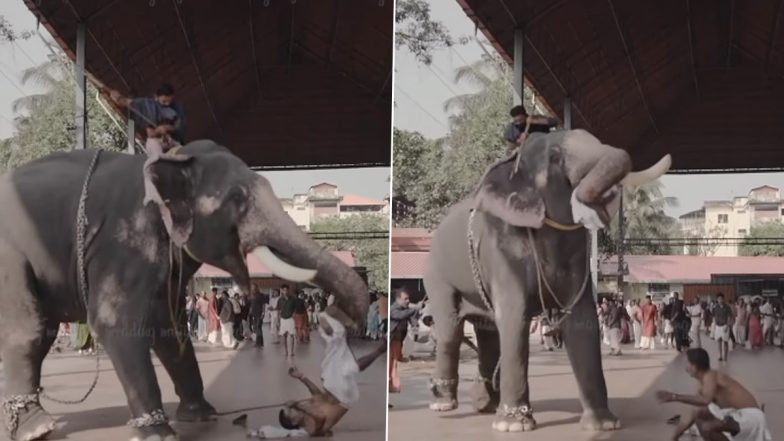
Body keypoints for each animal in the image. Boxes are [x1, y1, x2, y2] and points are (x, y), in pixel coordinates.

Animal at [0, 141, 370, 440]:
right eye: (237, 198)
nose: (334, 316)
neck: (173, 159)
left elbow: (169, 325)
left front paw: (201, 415)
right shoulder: (123, 241)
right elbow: (115, 323)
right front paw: (159, 433)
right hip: (9, 257)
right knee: (29, 331)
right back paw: (36, 428)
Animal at [420, 129, 672, 432]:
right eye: (554, 157)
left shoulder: (577, 256)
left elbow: (583, 320)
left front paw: (604, 425)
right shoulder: (502, 249)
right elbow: (514, 317)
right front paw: (514, 426)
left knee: (487, 330)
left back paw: (485, 404)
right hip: (436, 273)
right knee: (451, 328)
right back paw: (445, 405)